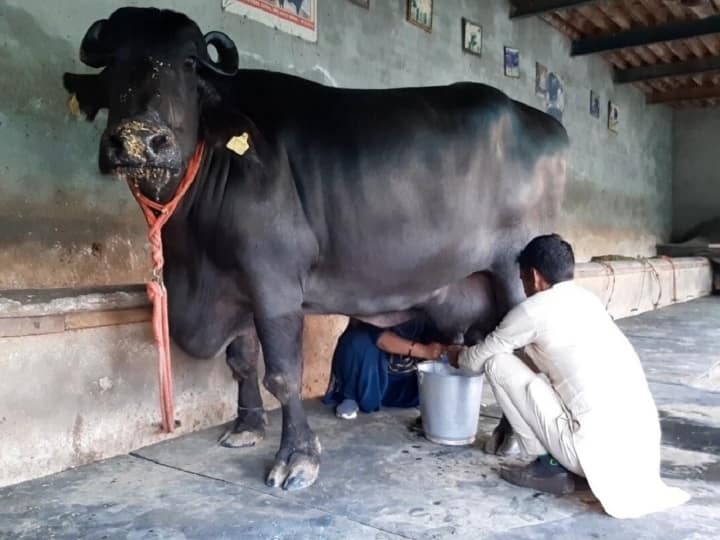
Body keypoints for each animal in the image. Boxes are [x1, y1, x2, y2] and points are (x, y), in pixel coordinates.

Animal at [62, 7, 568, 490]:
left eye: (188, 63)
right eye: (113, 63)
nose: (138, 141)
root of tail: (547, 124)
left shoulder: (274, 283)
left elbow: (283, 374)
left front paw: (297, 458)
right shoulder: (234, 283)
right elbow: (242, 361)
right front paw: (247, 427)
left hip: (516, 272)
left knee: (522, 353)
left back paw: (508, 437)